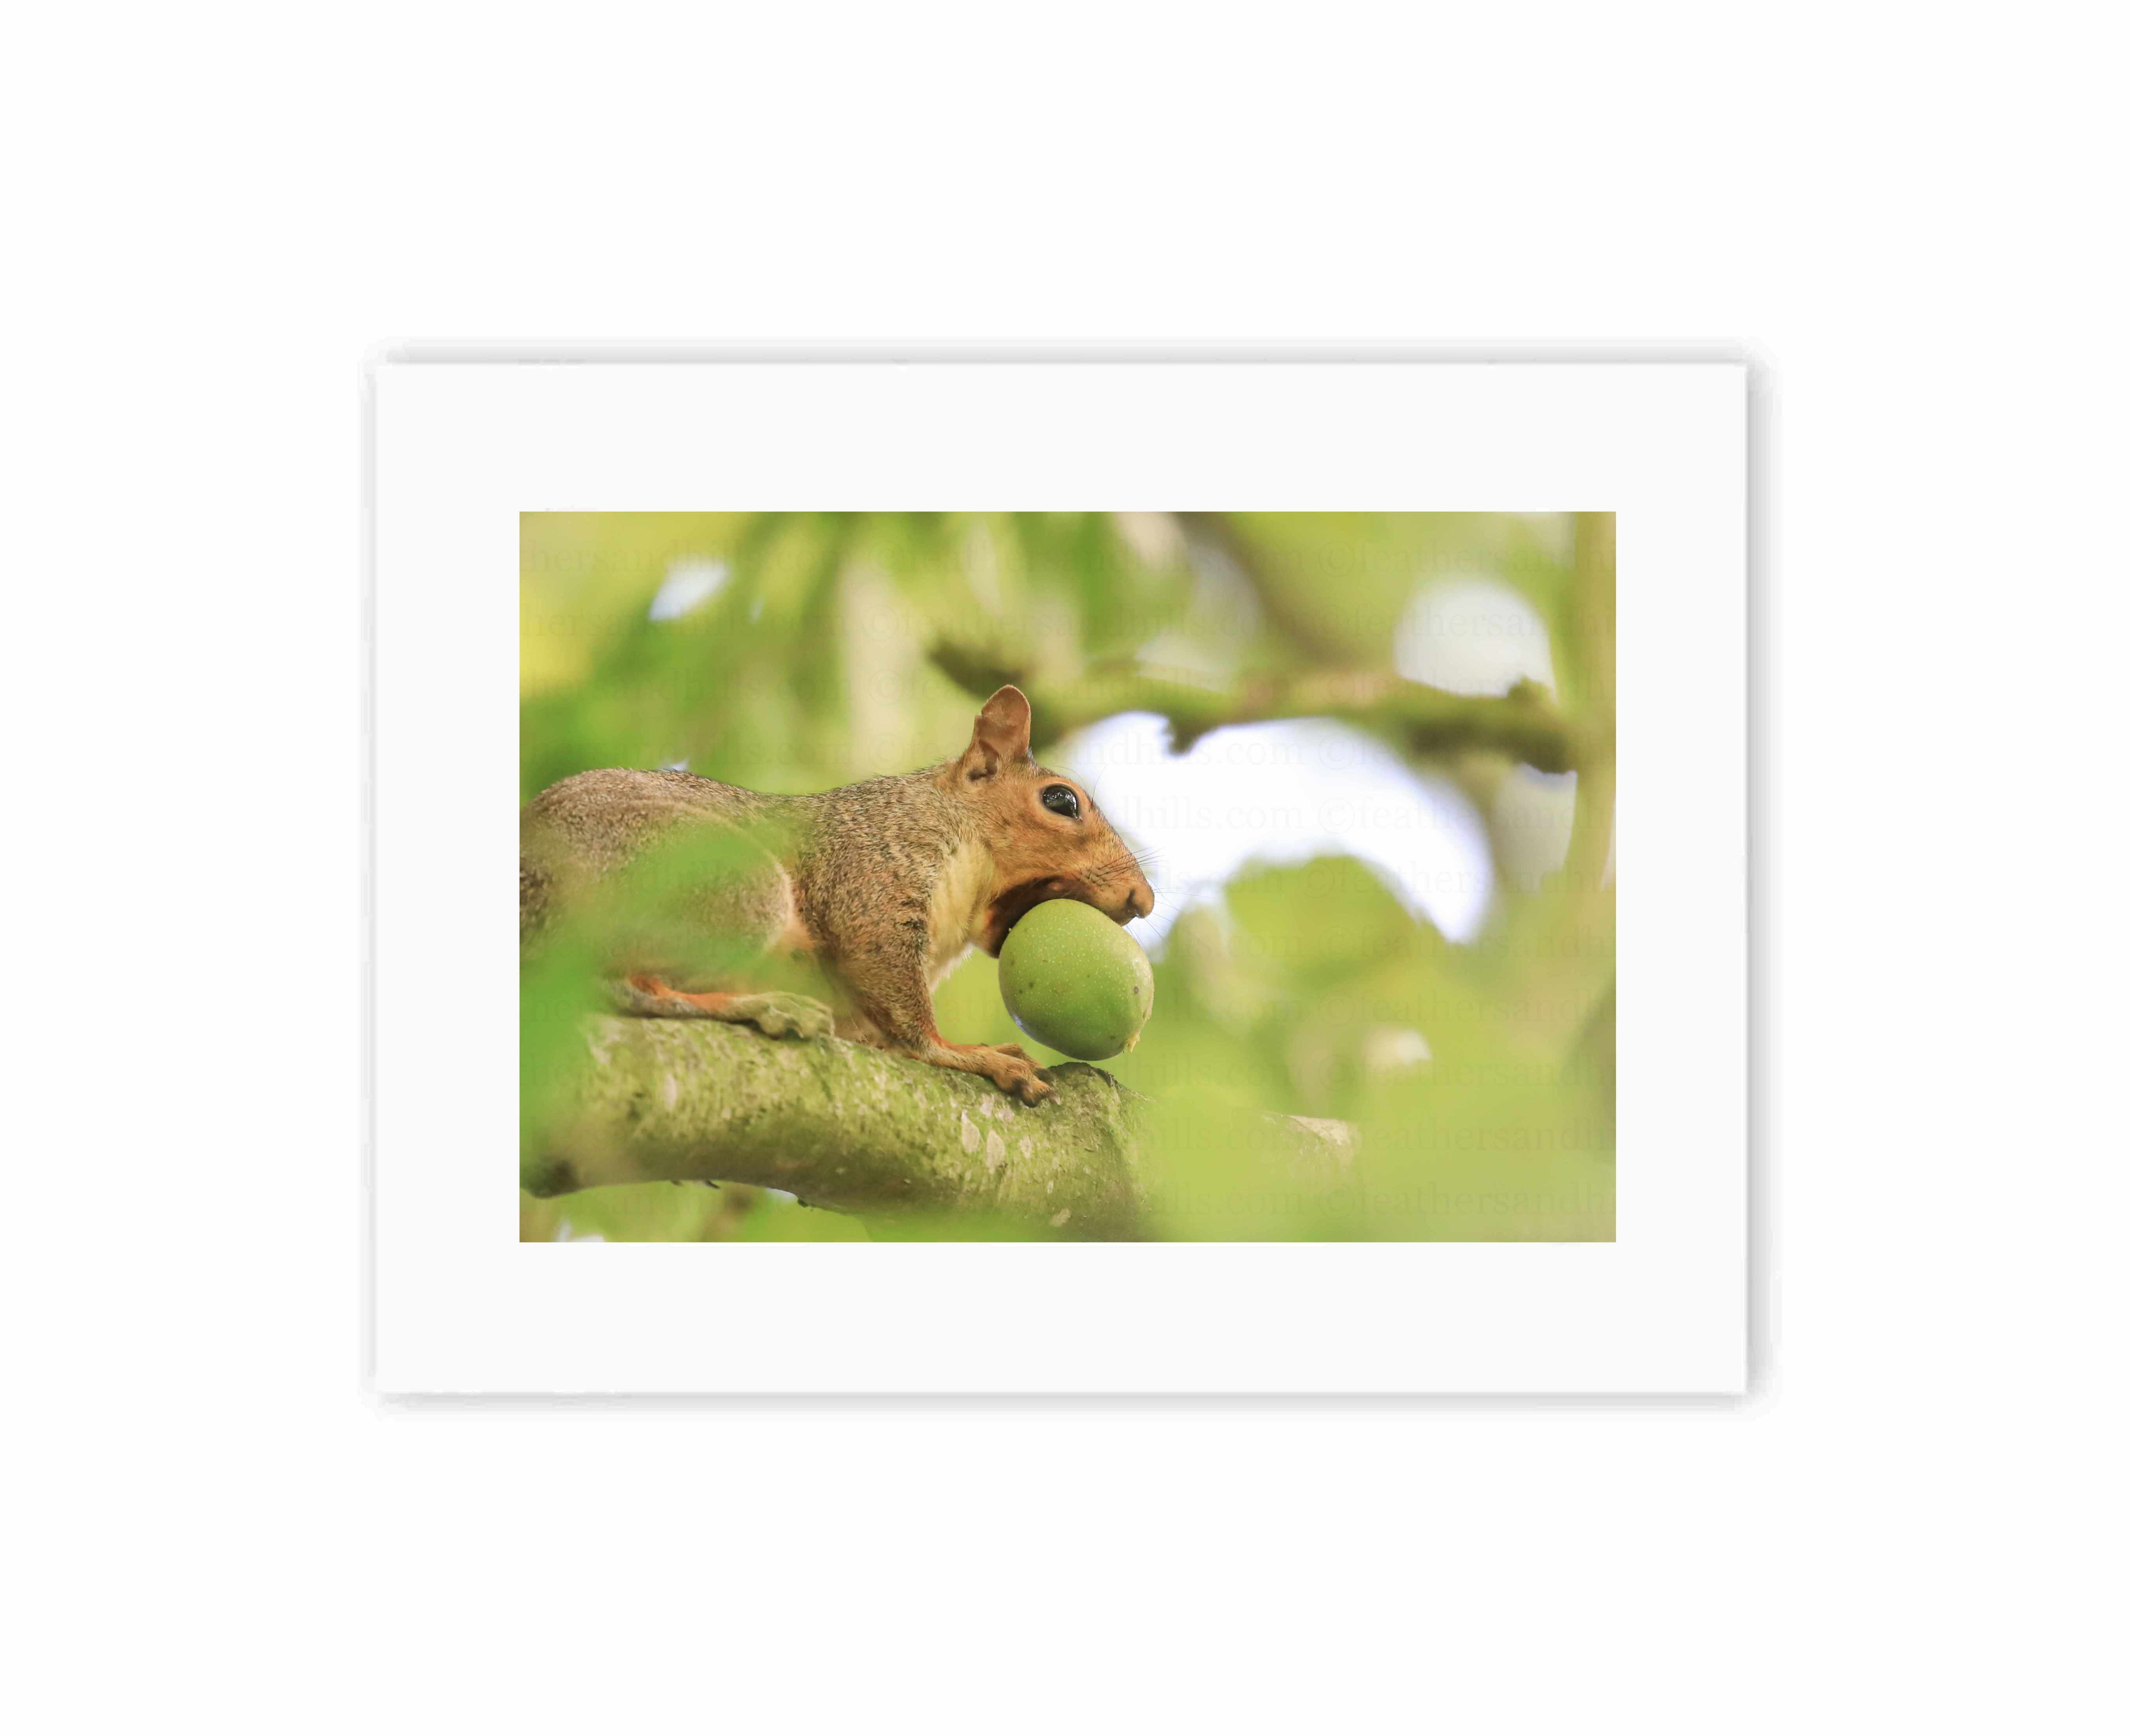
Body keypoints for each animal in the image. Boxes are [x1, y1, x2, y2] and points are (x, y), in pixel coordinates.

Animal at [520, 685, 1154, 1104]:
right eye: (1061, 801)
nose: (1143, 899)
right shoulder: (871, 871)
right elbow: (903, 1005)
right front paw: (969, 1053)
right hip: (725, 882)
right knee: (627, 986)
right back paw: (760, 1007)